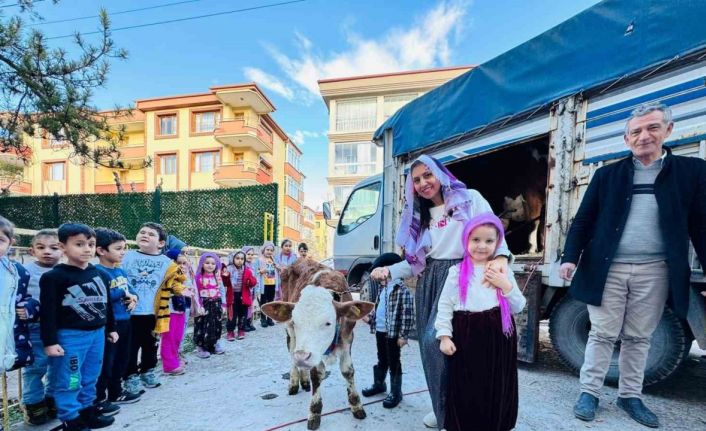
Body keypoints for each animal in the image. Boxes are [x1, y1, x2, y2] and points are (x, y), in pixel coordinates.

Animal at [262, 262, 374, 430]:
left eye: (328, 323)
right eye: (296, 321)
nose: (301, 357)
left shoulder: (348, 337)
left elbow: (348, 371)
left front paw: (356, 405)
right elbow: (316, 375)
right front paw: (314, 412)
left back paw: (304, 381)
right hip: (290, 333)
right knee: (291, 351)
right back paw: (294, 382)